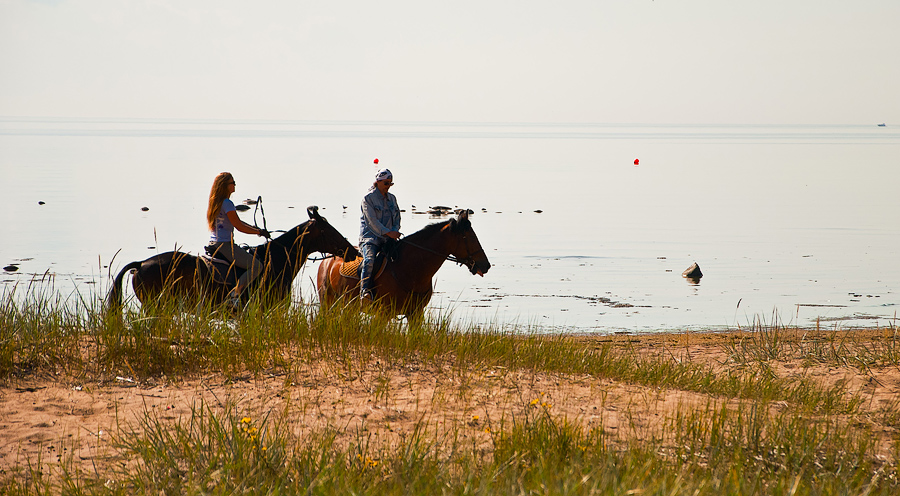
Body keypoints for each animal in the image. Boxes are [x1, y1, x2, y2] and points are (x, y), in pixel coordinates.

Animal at [312, 209, 488, 318]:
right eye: (469, 237)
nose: (486, 265)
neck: (410, 269)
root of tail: (327, 259)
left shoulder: (415, 314)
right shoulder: (383, 314)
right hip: (327, 301)